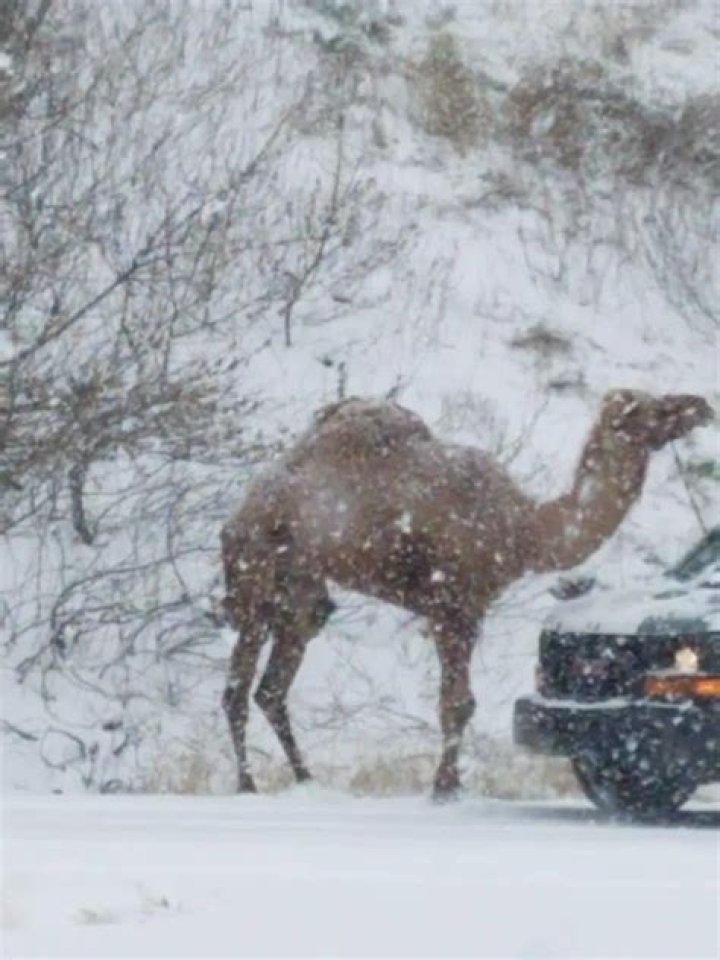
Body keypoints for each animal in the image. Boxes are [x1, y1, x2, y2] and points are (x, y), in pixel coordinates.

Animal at [220, 389, 713, 798]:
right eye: (653, 407)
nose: (702, 406)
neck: (524, 531)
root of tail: (240, 508)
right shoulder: (454, 604)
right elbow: (457, 703)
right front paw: (445, 788)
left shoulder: (469, 608)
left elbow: (462, 703)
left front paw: (450, 784)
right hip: (255, 569)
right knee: (237, 687)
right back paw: (247, 785)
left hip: (302, 591)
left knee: (272, 687)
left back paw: (307, 780)